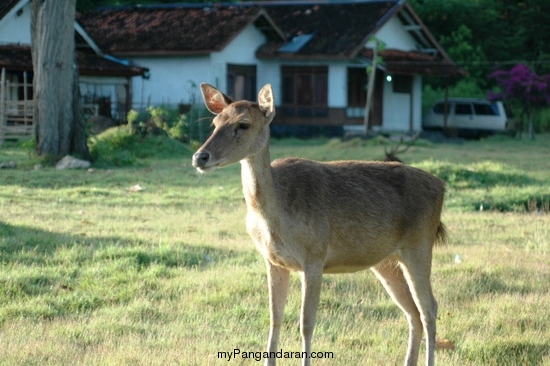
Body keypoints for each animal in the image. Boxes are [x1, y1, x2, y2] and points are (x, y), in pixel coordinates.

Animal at [192, 83, 446, 366]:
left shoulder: (314, 256)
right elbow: (274, 319)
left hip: (419, 245)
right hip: (386, 261)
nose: (200, 157)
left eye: (243, 124)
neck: (275, 220)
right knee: (412, 312)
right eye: (215, 123)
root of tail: (442, 188)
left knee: (429, 308)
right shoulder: (272, 260)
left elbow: (306, 323)